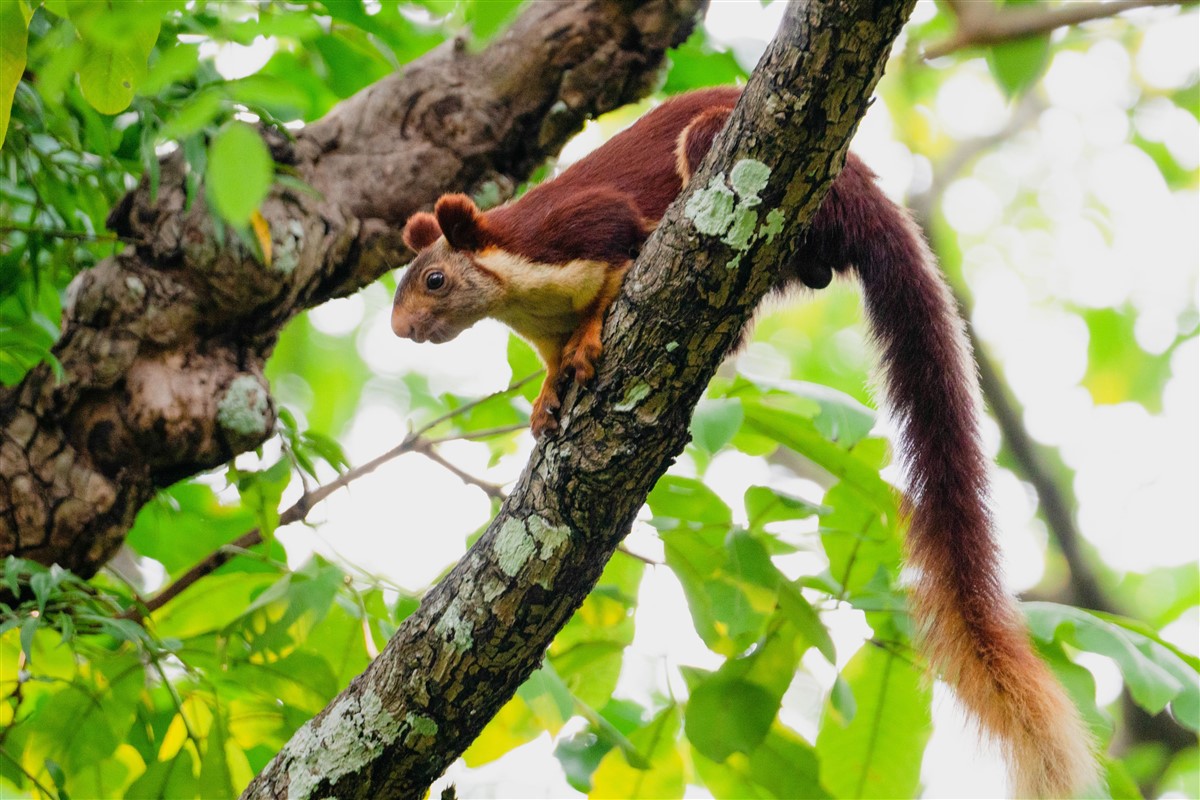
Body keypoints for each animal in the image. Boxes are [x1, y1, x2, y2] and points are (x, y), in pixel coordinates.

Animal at [391, 84, 1099, 796]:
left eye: (433, 280)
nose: (401, 330)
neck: (518, 291)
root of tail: (868, 191)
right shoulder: (541, 327)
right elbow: (550, 361)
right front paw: (544, 399)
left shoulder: (584, 230)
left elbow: (617, 260)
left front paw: (590, 338)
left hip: (764, 175)